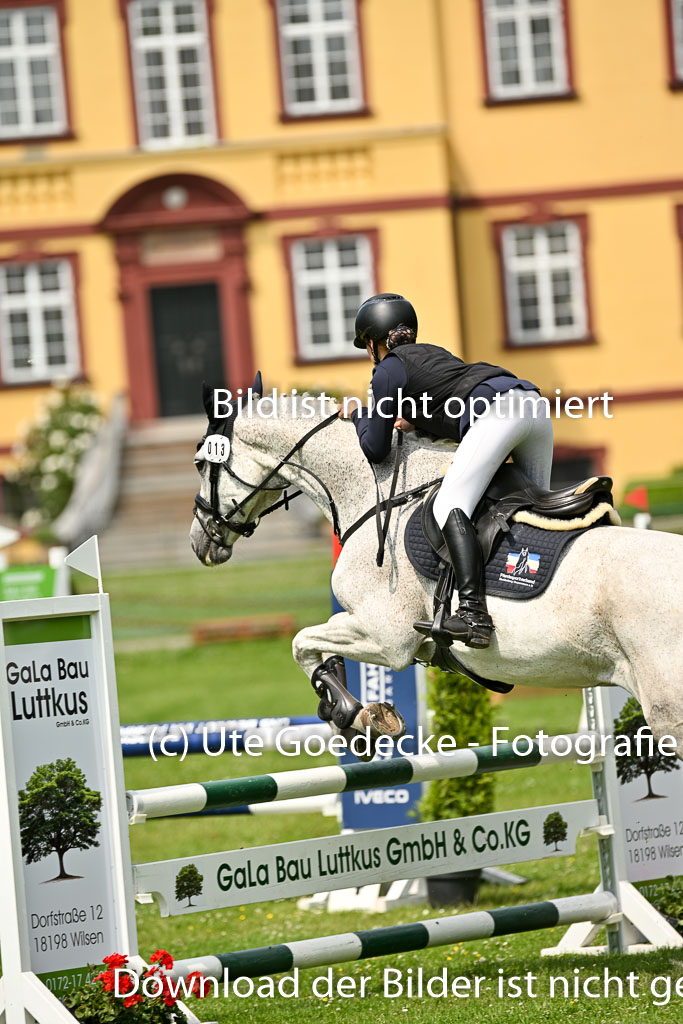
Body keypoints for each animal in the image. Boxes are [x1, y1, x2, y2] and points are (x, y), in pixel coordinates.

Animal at [190, 378, 683, 760]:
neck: (375, 491)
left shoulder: (387, 637)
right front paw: (357, 717)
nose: (199, 543)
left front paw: (356, 718)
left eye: (199, 462)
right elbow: (312, 646)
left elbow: (302, 643)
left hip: (668, 712)